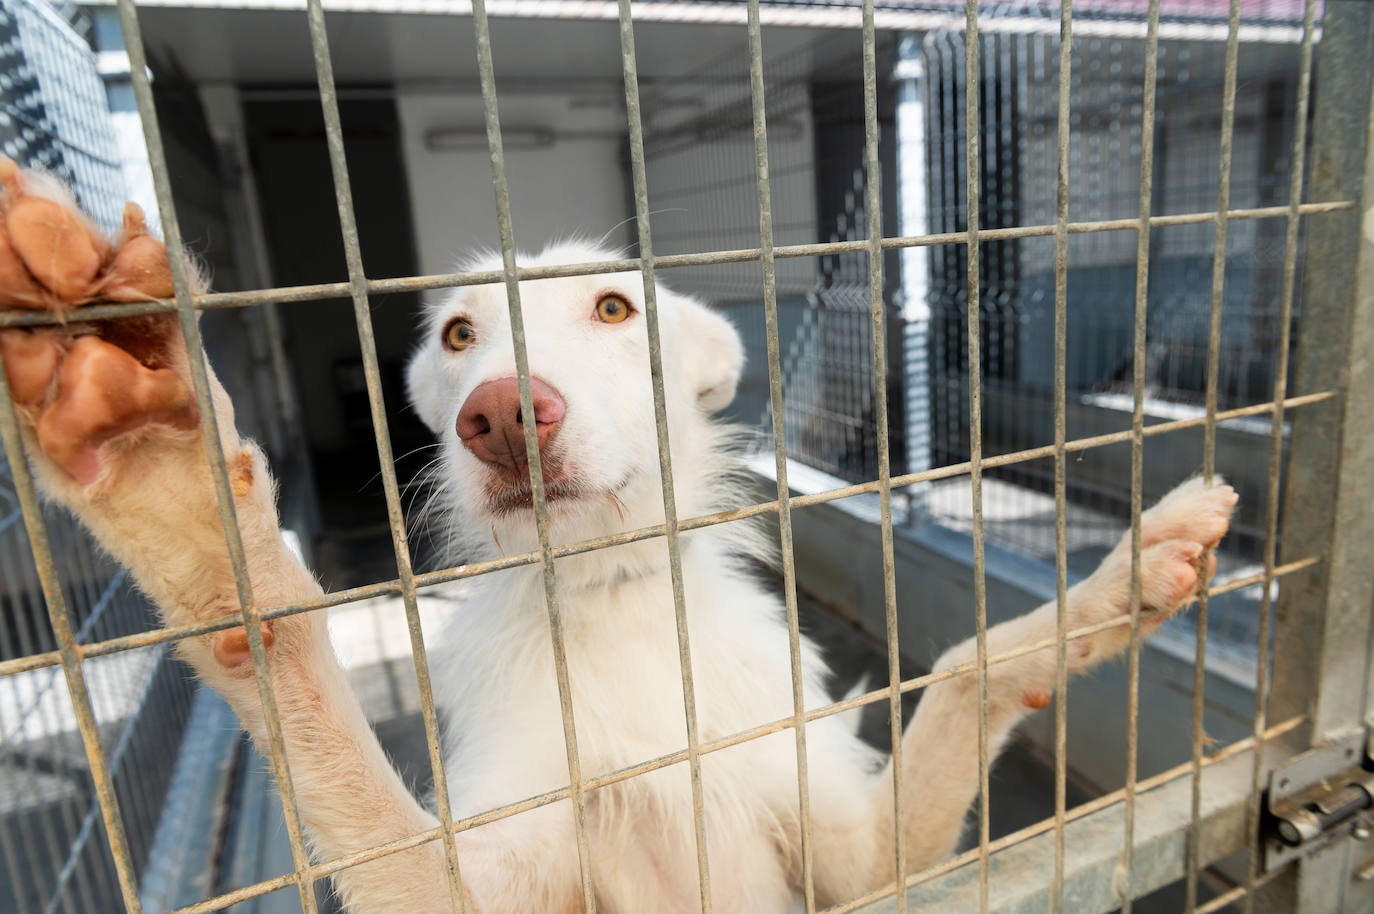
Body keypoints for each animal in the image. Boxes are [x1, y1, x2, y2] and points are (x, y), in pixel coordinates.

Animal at [0, 164, 1236, 912]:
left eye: (612, 309)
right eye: (461, 333)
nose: (501, 414)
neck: (610, 599)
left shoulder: (858, 858)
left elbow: (967, 666)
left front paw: (1119, 586)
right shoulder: (464, 879)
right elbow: (301, 686)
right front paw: (182, 489)